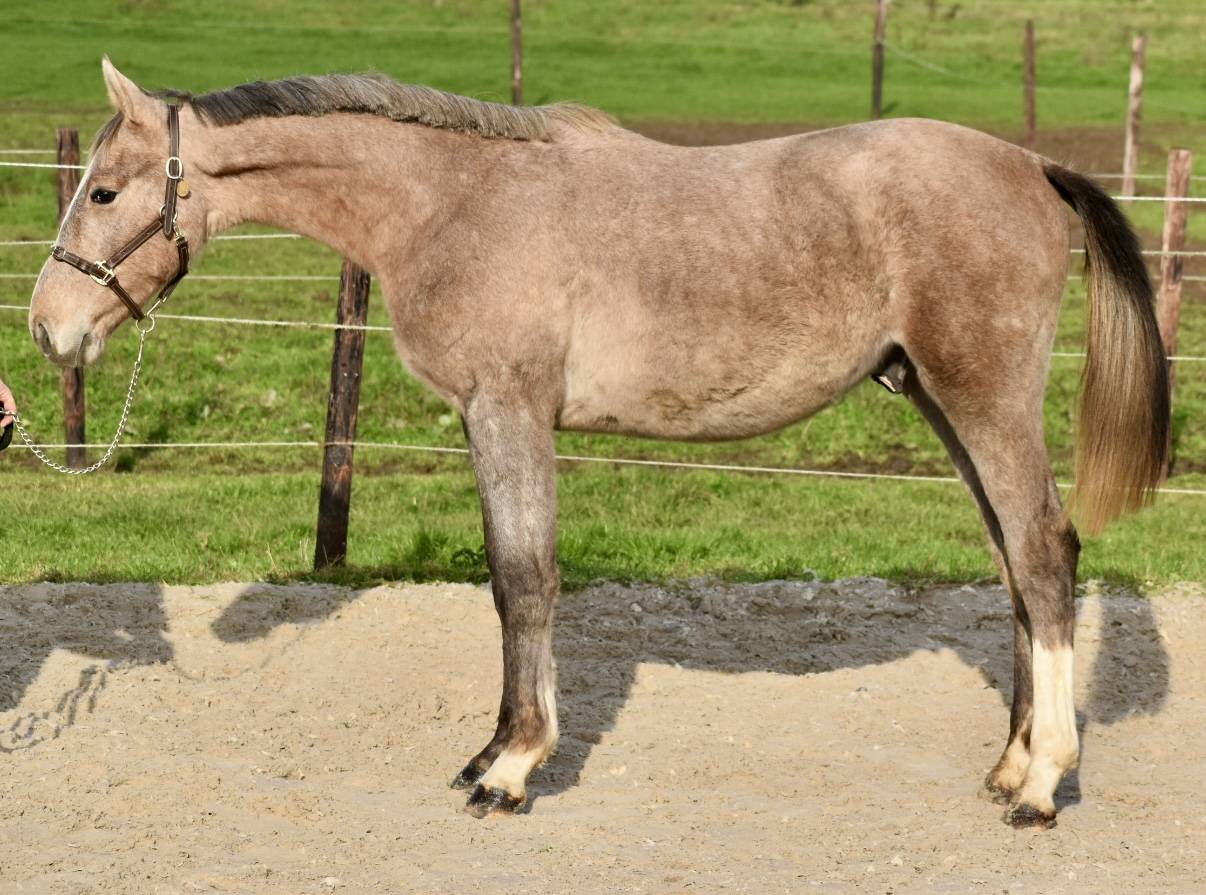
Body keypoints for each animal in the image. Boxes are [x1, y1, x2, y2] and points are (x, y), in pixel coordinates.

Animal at [27, 59, 1169, 827]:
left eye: (107, 190)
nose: (48, 329)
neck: (453, 201)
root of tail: (1032, 165)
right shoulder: (489, 419)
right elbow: (507, 579)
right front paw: (493, 747)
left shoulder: (509, 410)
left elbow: (526, 579)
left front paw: (513, 768)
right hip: (941, 401)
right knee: (1016, 568)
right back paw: (1011, 761)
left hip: (986, 401)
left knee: (1044, 555)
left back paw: (1041, 781)